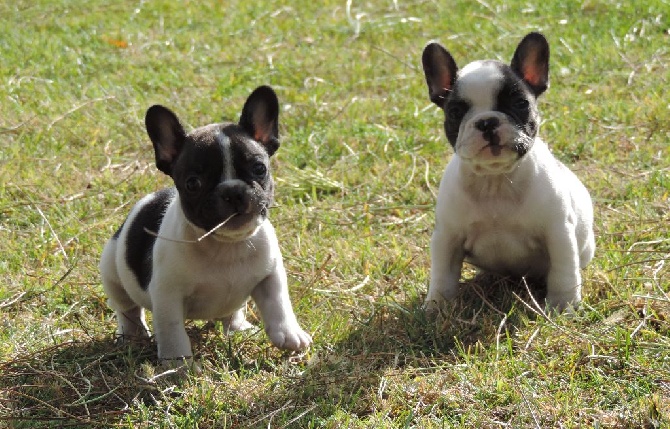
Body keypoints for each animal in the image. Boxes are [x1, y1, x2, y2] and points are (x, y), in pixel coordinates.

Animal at [98, 85, 314, 362]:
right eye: (193, 183)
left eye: (259, 168)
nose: (232, 191)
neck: (226, 245)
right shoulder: (167, 296)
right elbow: (173, 333)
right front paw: (178, 365)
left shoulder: (270, 274)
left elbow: (279, 304)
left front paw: (289, 335)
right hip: (112, 272)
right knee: (127, 309)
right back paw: (133, 335)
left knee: (233, 312)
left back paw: (238, 328)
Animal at [422, 30, 596, 310]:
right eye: (455, 111)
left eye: (520, 103)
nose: (487, 122)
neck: (496, 180)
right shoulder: (447, 237)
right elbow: (443, 274)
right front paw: (437, 306)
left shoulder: (558, 232)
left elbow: (563, 271)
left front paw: (563, 305)